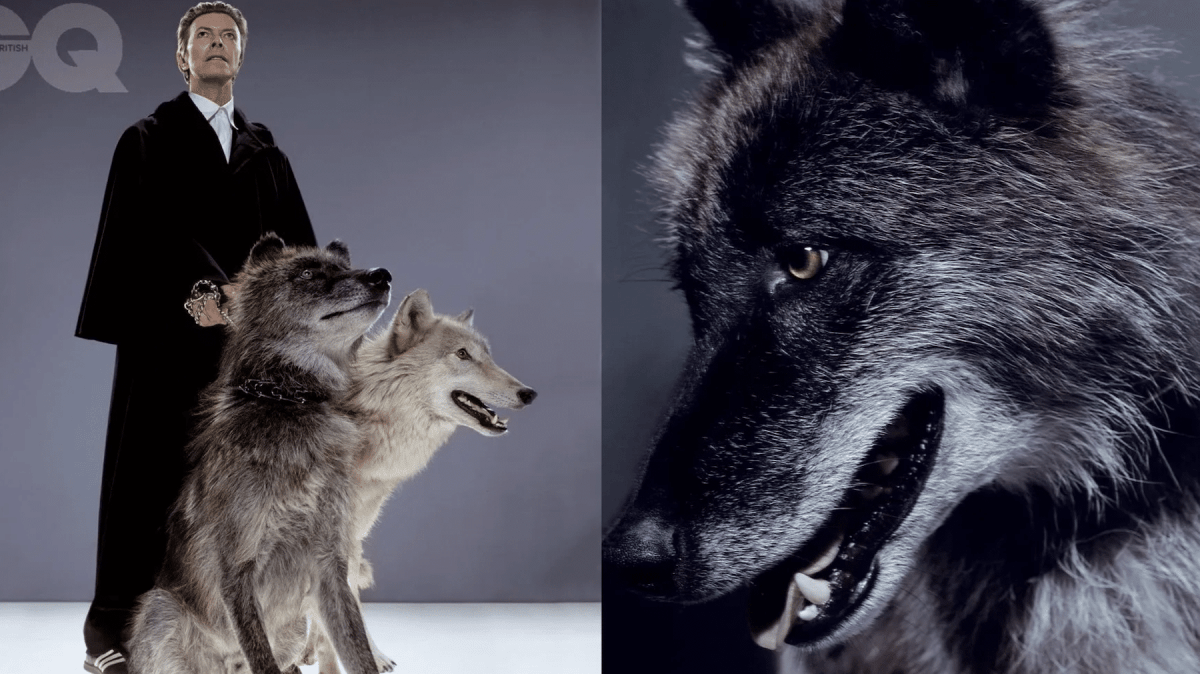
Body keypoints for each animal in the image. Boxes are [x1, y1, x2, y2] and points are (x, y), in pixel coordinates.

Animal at [127, 233, 392, 674]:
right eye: (308, 274)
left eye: (343, 268)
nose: (382, 275)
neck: (289, 400)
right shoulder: (237, 571)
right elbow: (261, 657)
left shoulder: (331, 569)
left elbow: (358, 653)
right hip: (161, 609)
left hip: (293, 628)